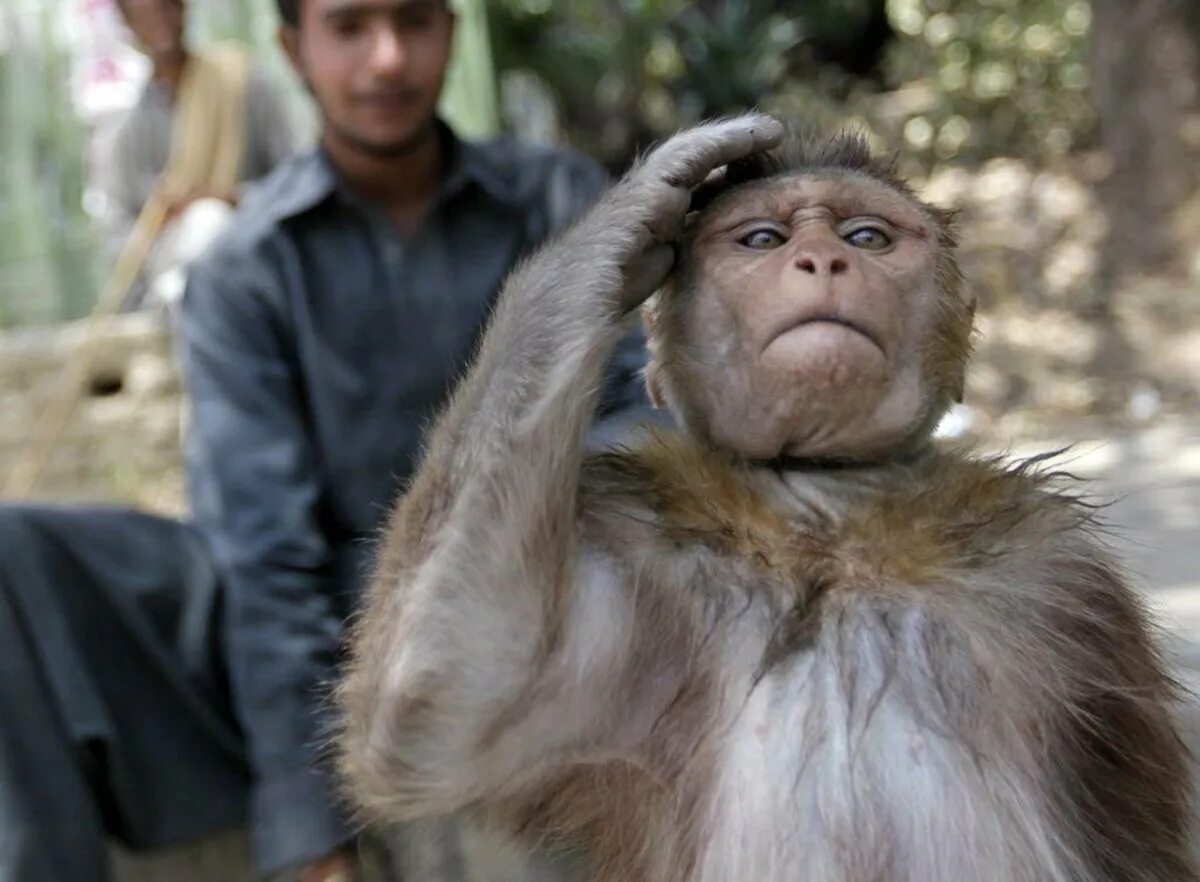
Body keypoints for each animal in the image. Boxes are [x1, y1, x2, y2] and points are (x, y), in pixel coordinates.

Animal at [333, 117, 1195, 882]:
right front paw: (638, 208)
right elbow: (443, 692)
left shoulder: (1064, 585)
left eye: (867, 238)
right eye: (762, 242)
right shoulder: (640, 538)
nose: (821, 259)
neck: (830, 513)